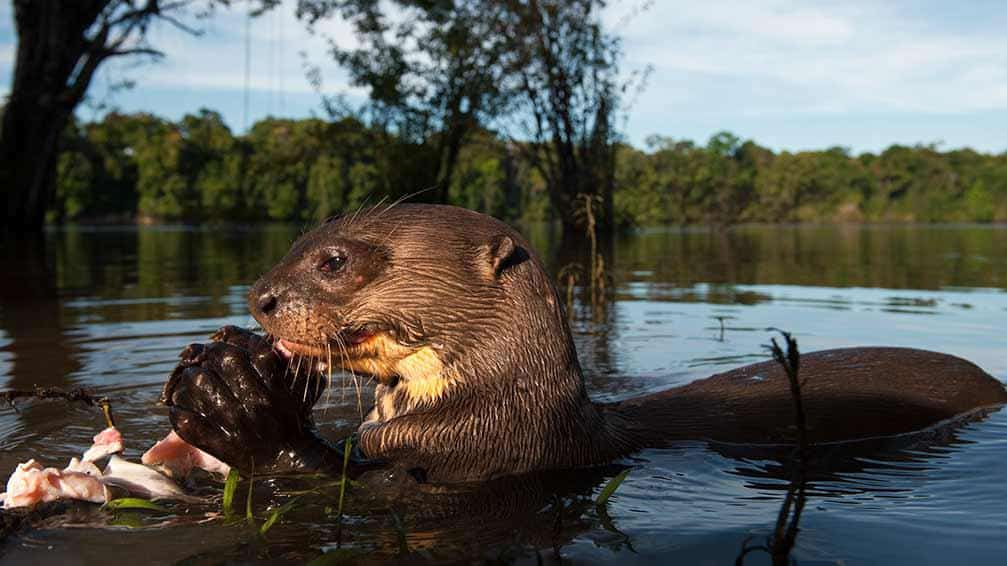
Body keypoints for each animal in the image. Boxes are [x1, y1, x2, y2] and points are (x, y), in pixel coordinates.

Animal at [161, 202, 1002, 479]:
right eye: (298, 242)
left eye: (334, 261)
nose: (260, 297)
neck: (497, 405)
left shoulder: (489, 453)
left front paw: (237, 404)